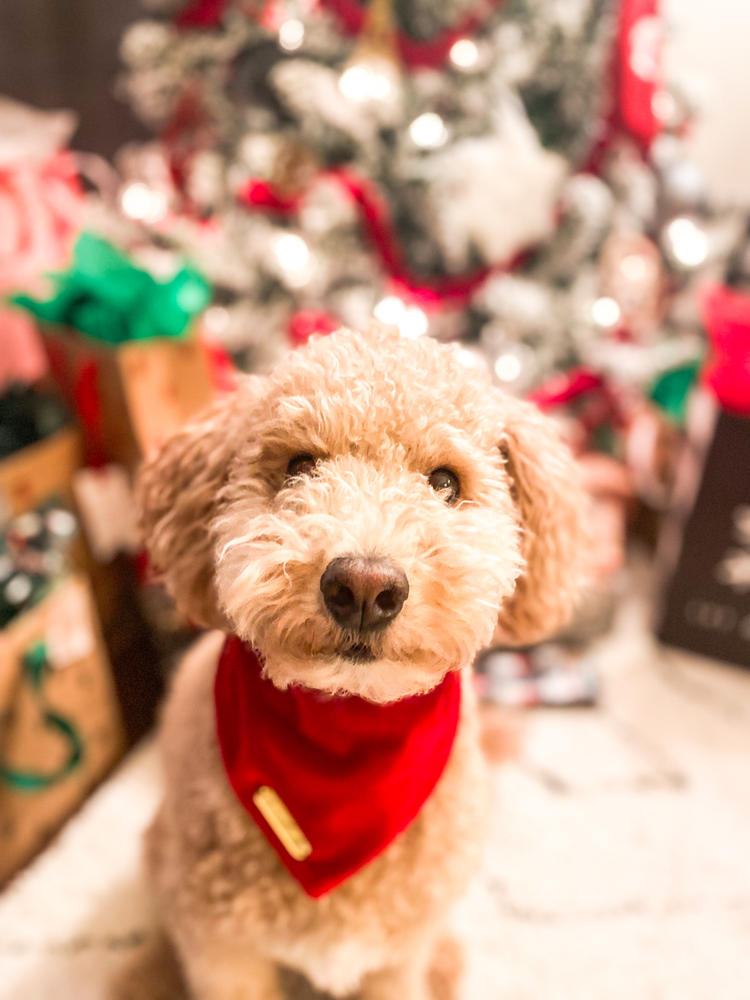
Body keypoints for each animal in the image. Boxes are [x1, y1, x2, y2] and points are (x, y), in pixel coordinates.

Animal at [137, 324, 588, 996]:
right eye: (299, 465)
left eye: (445, 482)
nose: (364, 589)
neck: (345, 738)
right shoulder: (221, 949)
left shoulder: (398, 956)